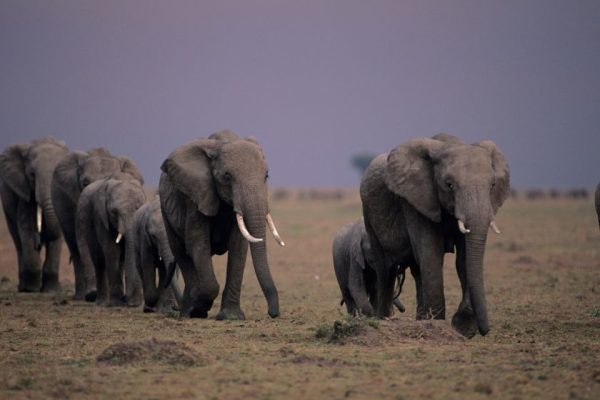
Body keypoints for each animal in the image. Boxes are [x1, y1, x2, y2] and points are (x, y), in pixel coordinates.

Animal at [0, 137, 69, 290]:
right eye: (32, 175)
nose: (40, 241)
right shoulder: (24, 189)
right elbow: (26, 228)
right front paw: (32, 288)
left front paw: (51, 290)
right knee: (17, 239)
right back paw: (23, 287)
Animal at [50, 147, 142, 300]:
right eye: (85, 183)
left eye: (112, 178)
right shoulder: (79, 201)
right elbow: (82, 240)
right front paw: (92, 293)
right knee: (74, 247)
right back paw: (81, 296)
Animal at [76, 173, 145, 308]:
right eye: (114, 212)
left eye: (138, 208)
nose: (127, 300)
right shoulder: (100, 217)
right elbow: (112, 251)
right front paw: (116, 303)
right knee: (99, 261)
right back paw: (101, 302)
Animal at [159, 130, 286, 318]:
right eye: (227, 176)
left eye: (266, 176)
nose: (272, 313)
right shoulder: (196, 195)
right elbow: (198, 243)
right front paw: (200, 306)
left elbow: (238, 247)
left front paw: (231, 317)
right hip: (164, 211)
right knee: (181, 252)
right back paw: (189, 312)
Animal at [358, 134, 508, 338]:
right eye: (449, 185)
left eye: (492, 185)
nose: (485, 331)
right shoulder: (415, 201)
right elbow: (431, 253)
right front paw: (439, 324)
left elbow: (464, 259)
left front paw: (462, 327)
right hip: (369, 216)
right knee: (385, 271)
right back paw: (383, 319)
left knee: (417, 269)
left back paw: (421, 318)